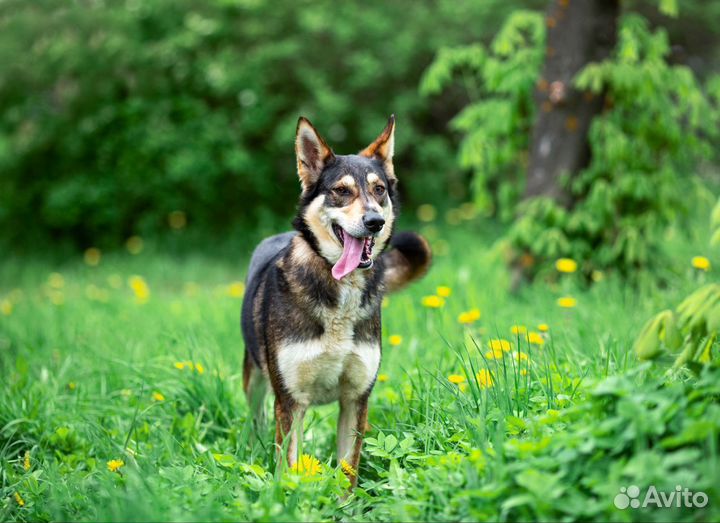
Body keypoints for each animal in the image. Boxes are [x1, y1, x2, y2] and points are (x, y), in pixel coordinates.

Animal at [242, 114, 434, 488]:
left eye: (379, 190)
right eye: (342, 191)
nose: (374, 222)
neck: (340, 296)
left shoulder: (355, 400)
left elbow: (348, 472)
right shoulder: (291, 402)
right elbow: (289, 468)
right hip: (255, 380)